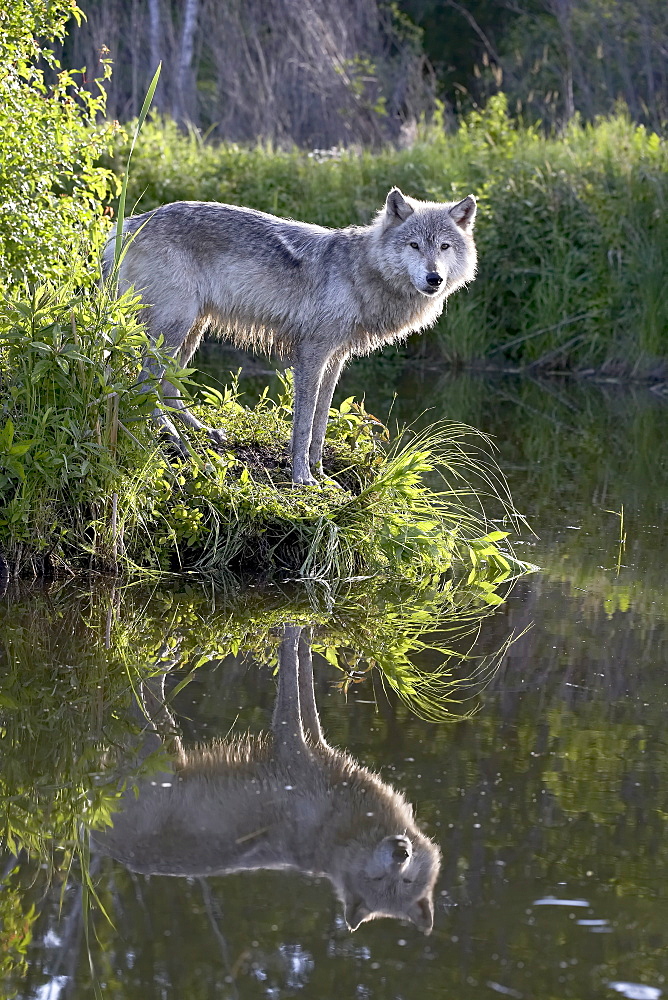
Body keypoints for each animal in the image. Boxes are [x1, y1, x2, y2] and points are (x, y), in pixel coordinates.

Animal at [91, 620, 440, 932]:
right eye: (377, 879)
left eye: (406, 880)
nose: (400, 851)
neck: (336, 831)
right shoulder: (298, 742)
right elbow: (297, 669)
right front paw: (299, 624)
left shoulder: (305, 745)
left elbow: (299, 681)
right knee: (134, 678)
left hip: (167, 746)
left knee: (147, 678)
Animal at [104, 189, 474, 486]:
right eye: (414, 245)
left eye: (444, 246)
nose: (434, 278)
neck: (360, 273)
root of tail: (129, 224)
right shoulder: (311, 355)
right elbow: (303, 424)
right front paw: (302, 477)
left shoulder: (335, 359)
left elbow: (320, 422)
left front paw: (321, 472)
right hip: (175, 328)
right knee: (145, 387)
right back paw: (180, 445)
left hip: (192, 331)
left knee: (166, 387)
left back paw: (203, 433)